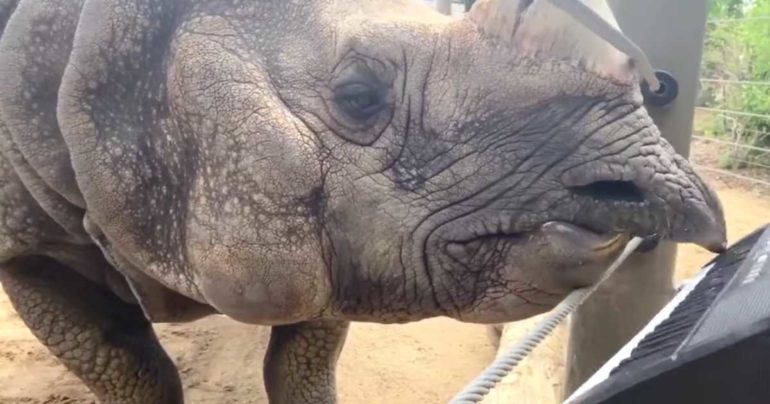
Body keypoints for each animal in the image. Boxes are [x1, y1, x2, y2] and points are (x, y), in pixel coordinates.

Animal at [0, 0, 725, 402]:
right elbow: (134, 370)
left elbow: (302, 368)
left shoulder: (343, 239)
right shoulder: (31, 246)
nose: (689, 210)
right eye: (358, 97)